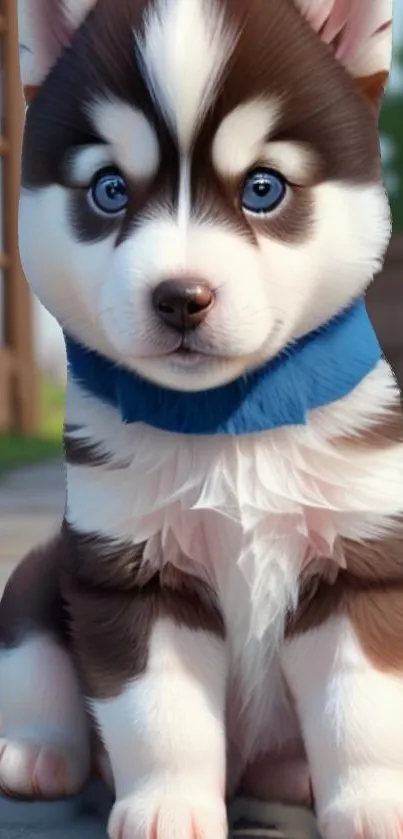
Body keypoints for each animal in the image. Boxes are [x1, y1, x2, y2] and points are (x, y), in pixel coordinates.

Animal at [0, 0, 398, 836]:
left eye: (262, 189)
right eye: (109, 191)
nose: (180, 297)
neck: (226, 420)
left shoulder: (360, 558)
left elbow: (361, 704)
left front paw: (373, 801)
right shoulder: (128, 571)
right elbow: (159, 712)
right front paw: (167, 804)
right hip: (42, 569)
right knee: (31, 645)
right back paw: (40, 753)